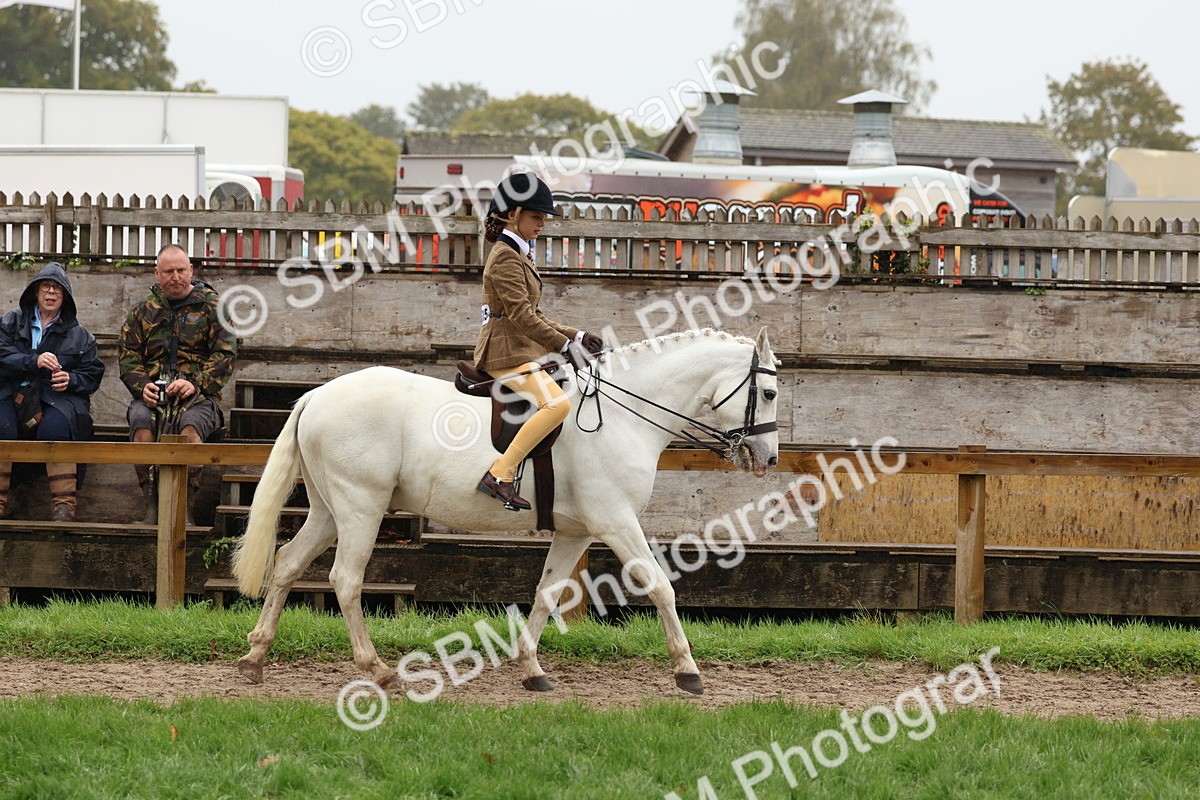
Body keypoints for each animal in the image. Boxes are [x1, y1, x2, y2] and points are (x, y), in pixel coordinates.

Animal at [231, 327, 781, 695]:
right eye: (771, 392)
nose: (768, 459)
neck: (624, 416)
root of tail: (318, 394)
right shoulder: (616, 521)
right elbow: (661, 585)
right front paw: (688, 671)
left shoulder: (578, 531)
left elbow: (547, 593)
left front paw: (532, 669)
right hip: (359, 507)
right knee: (345, 580)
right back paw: (379, 670)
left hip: (329, 510)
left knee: (288, 563)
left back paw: (256, 656)